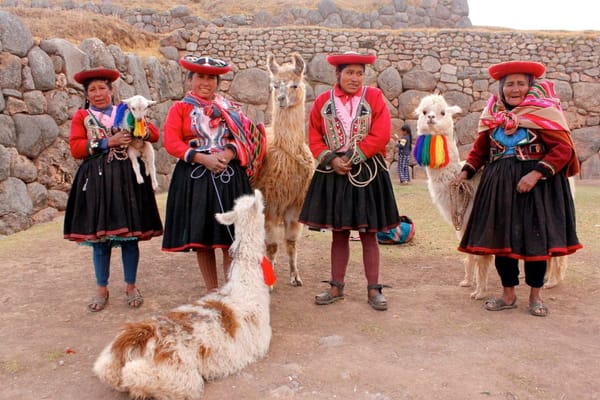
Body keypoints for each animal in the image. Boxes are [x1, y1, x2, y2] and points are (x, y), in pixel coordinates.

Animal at [94, 189, 272, 398]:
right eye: (263, 208)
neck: (245, 287)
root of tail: (131, 342)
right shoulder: (261, 343)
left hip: (105, 361)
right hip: (178, 375)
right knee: (135, 375)